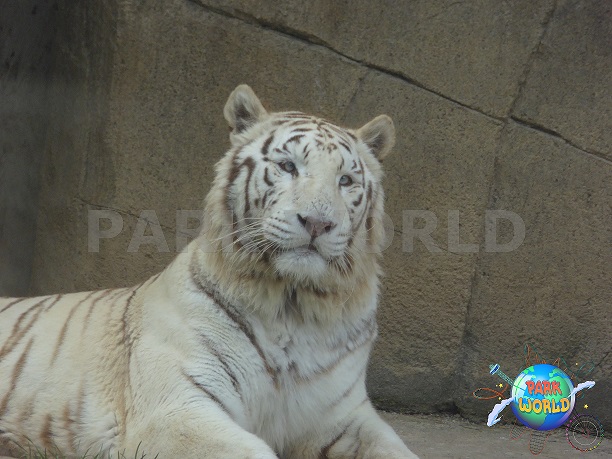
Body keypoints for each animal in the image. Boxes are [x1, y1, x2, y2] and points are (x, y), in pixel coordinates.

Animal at [0, 84, 416, 458]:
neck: (293, 305)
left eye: (345, 180)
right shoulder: (176, 408)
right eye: (288, 166)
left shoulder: (344, 417)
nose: (317, 223)